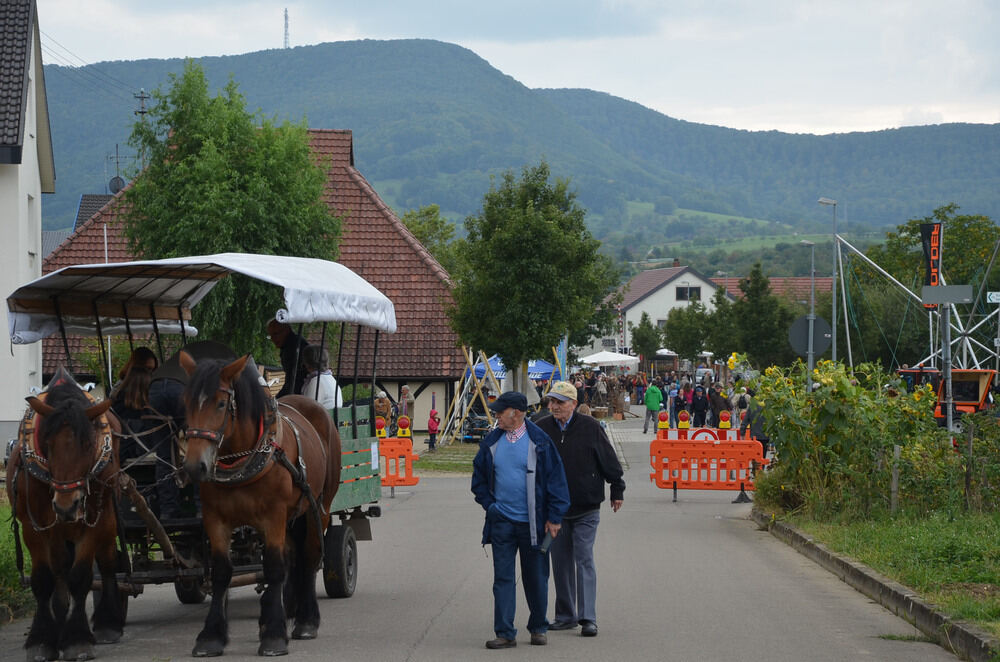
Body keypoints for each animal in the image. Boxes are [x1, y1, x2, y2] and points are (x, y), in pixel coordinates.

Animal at [5, 368, 125, 662]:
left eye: (89, 444)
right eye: (47, 443)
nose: (66, 506)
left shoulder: (92, 522)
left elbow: (80, 576)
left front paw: (77, 639)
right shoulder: (33, 526)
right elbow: (43, 579)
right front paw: (42, 639)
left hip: (108, 517)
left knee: (107, 563)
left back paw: (108, 623)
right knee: (59, 568)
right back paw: (59, 623)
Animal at [177, 356, 340, 656]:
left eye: (221, 403)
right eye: (186, 402)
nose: (195, 466)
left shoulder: (273, 515)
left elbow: (274, 567)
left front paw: (274, 635)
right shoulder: (216, 519)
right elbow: (221, 572)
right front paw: (211, 636)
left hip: (319, 506)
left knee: (310, 556)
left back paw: (306, 620)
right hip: (292, 517)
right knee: (293, 557)